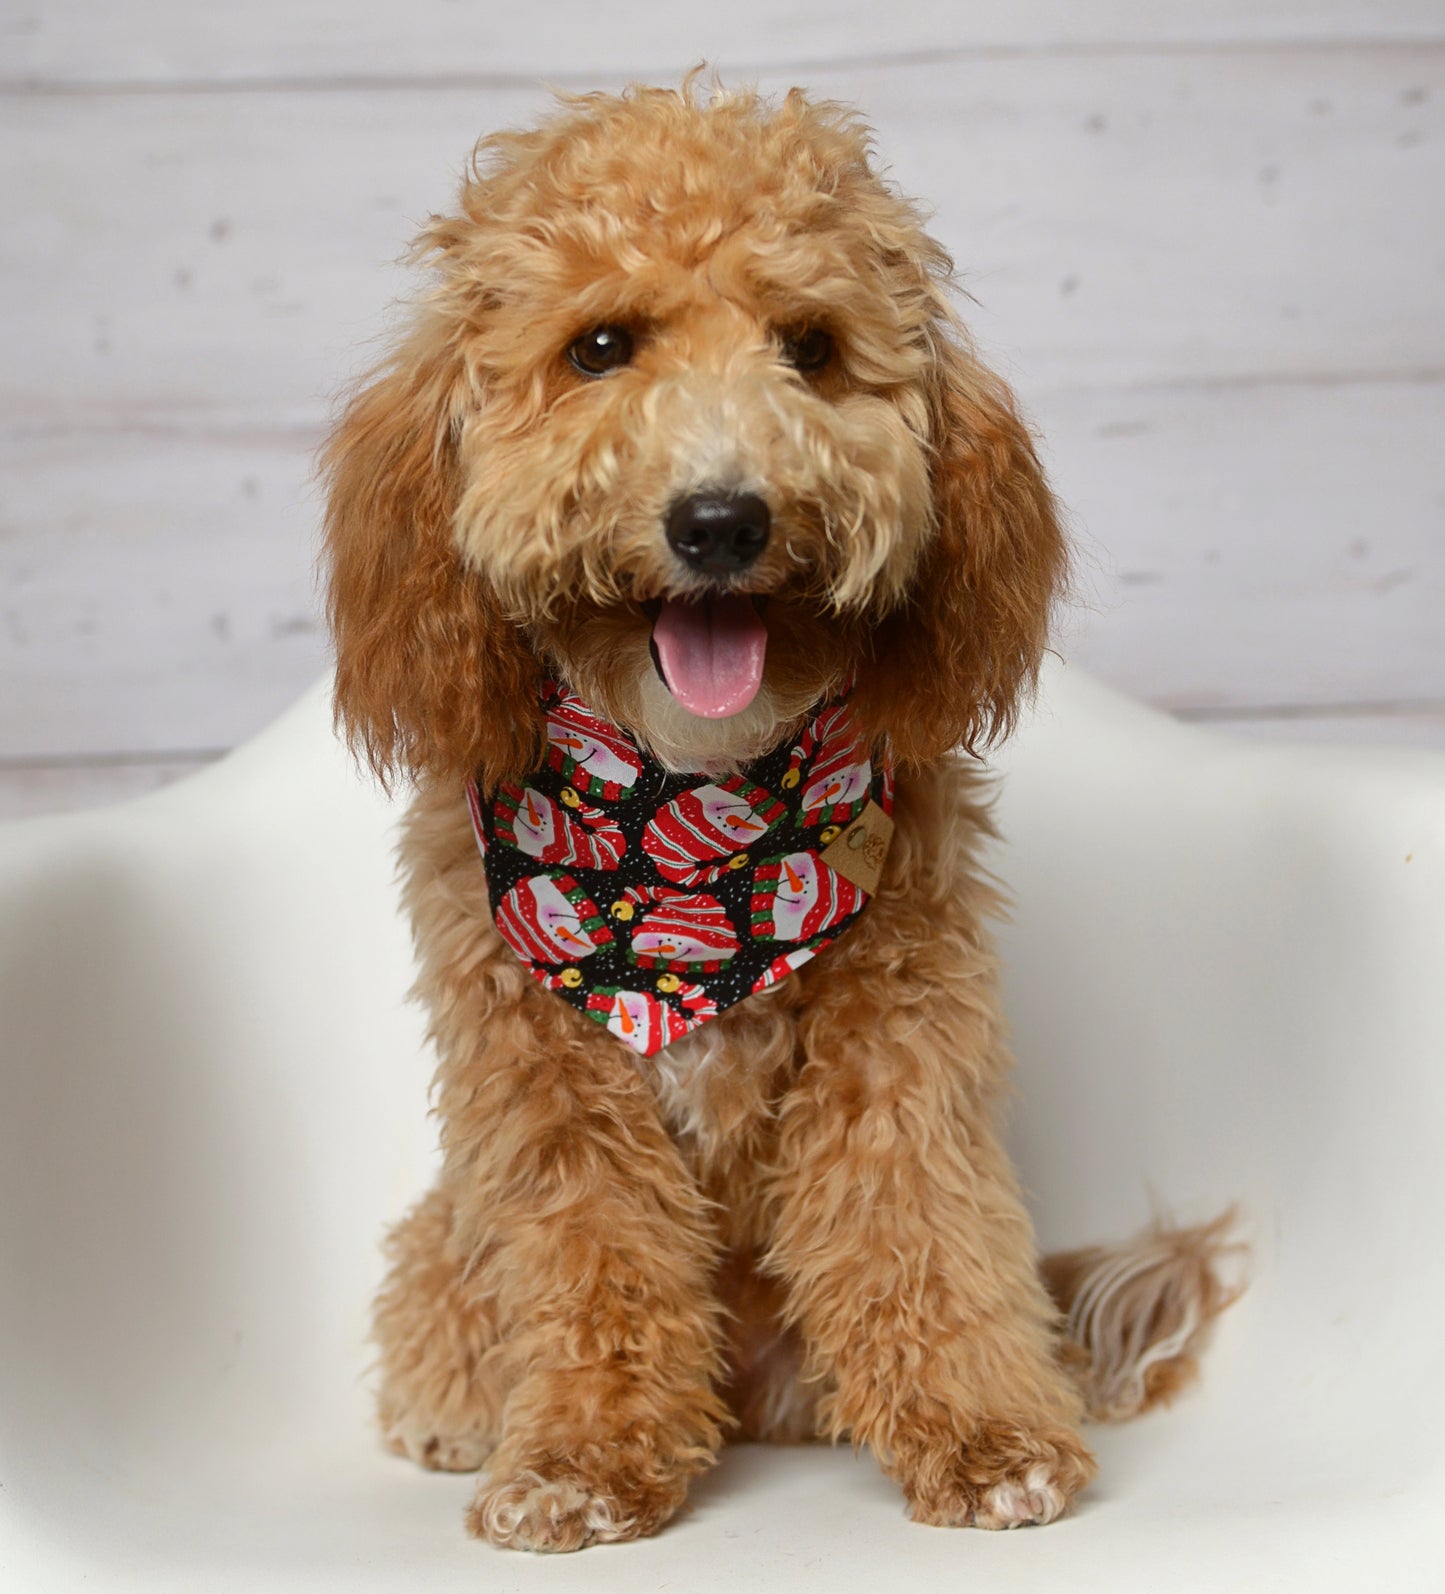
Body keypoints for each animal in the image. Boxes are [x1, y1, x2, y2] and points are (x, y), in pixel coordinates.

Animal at [321, 80, 1236, 1549]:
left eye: (809, 348)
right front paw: (580, 1459)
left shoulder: (902, 1033)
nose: (719, 520)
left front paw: (986, 1433)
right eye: (598, 347)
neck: (687, 839)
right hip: (444, 1230)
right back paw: (457, 1405)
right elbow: (593, 1261)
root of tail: (751, 1392)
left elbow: (914, 1222)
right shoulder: (544, 1077)